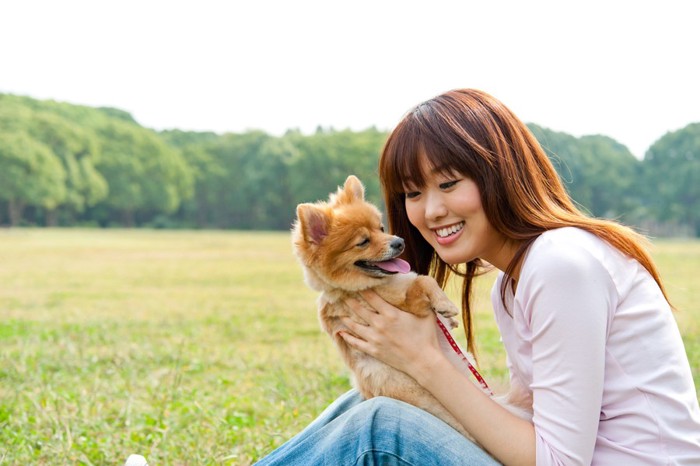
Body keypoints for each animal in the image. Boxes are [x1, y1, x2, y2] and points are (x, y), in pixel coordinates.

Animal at [292, 175, 532, 440]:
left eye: (381, 228)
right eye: (363, 242)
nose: (399, 242)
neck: (366, 286)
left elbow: (423, 280)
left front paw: (448, 317)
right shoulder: (408, 305)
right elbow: (424, 281)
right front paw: (445, 306)